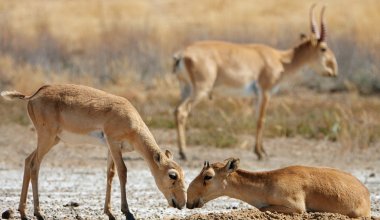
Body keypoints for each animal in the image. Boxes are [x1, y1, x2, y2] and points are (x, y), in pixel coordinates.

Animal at [0, 83, 187, 219]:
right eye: (172, 175)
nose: (182, 203)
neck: (131, 120)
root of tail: (34, 95)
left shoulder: (111, 149)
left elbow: (110, 173)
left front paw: (109, 212)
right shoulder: (113, 143)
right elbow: (123, 172)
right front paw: (126, 211)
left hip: (53, 140)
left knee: (27, 160)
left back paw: (23, 211)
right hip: (46, 138)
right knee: (34, 165)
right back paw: (38, 212)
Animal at [174, 4, 336, 160]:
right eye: (323, 48)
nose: (333, 71)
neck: (280, 59)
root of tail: (182, 54)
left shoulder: (257, 96)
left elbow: (257, 117)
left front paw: (262, 151)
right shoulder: (265, 92)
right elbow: (261, 120)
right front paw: (260, 153)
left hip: (186, 89)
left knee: (176, 110)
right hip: (201, 90)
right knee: (182, 111)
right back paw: (184, 153)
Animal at [187, 157, 372, 217]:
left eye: (208, 176)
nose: (189, 201)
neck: (267, 184)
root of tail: (366, 193)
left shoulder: (296, 207)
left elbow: (262, 208)